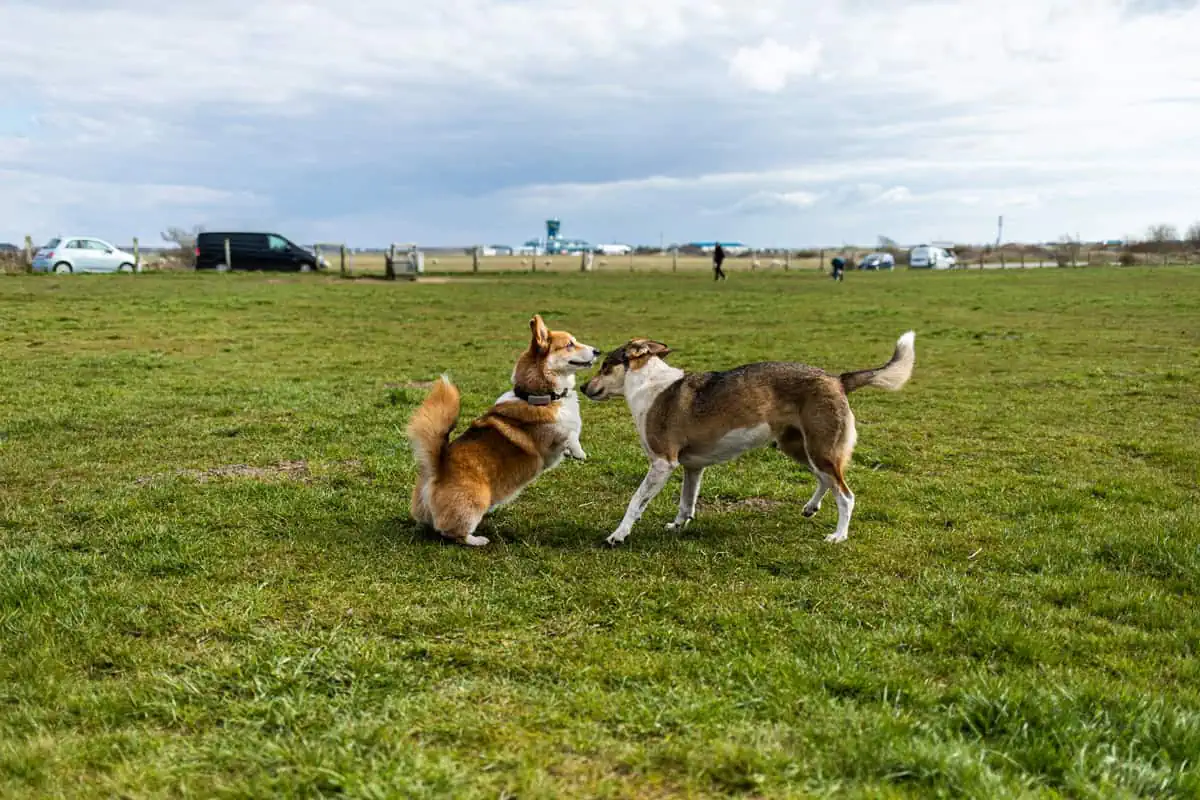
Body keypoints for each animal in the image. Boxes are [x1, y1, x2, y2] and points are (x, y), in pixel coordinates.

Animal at [410, 316, 600, 546]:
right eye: (569, 344)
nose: (598, 351)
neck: (540, 395)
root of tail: (436, 469)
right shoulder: (548, 438)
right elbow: (569, 433)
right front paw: (579, 452)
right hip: (476, 501)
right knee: (452, 533)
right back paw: (478, 540)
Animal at [583, 331, 916, 544]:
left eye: (605, 366)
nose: (584, 387)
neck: (648, 386)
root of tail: (837, 380)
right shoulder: (692, 467)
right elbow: (686, 502)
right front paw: (678, 526)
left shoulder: (663, 463)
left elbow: (635, 501)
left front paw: (618, 535)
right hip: (799, 447)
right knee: (825, 481)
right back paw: (811, 508)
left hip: (820, 449)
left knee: (846, 495)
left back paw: (838, 536)